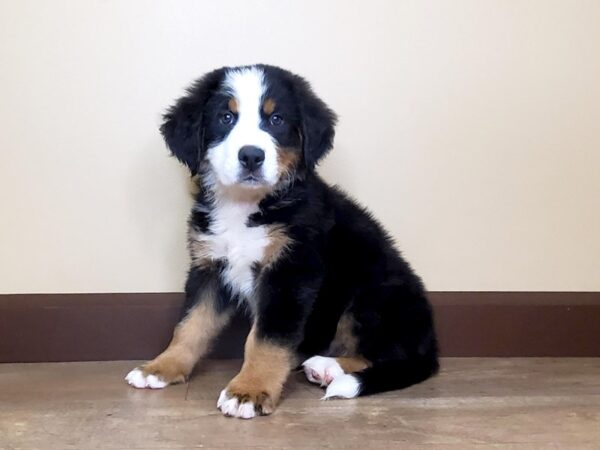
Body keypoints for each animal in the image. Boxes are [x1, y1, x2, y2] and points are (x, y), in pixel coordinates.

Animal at [124, 63, 438, 418]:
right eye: (226, 117)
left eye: (276, 120)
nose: (251, 156)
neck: (245, 205)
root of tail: (432, 344)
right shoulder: (210, 267)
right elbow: (190, 325)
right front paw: (161, 367)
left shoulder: (290, 273)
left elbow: (266, 340)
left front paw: (249, 391)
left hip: (371, 294)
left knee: (390, 354)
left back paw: (328, 367)